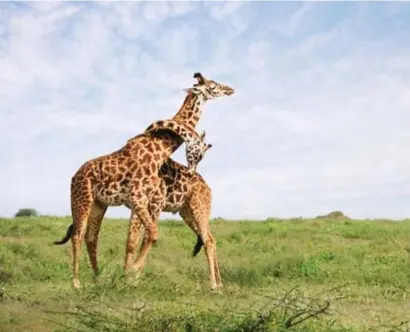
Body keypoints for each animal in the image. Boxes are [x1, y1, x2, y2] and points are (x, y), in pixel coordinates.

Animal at [54, 72, 234, 288]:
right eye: (213, 86)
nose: (230, 90)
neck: (160, 148)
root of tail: (75, 176)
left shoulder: (144, 201)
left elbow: (134, 241)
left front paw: (129, 277)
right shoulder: (140, 199)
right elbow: (146, 237)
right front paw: (131, 275)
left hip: (111, 205)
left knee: (91, 237)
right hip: (83, 199)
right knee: (79, 235)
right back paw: (77, 282)